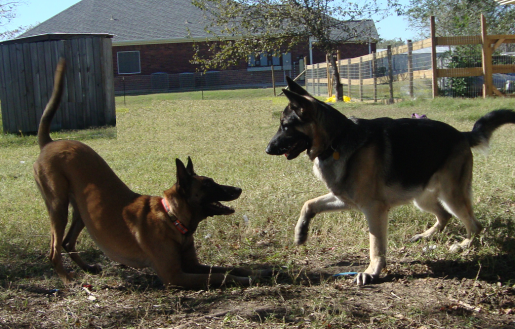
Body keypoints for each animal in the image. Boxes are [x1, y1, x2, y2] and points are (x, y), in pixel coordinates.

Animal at [34, 59, 264, 288]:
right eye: (207, 185)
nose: (238, 189)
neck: (172, 218)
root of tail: (49, 143)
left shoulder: (193, 265)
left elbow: (226, 268)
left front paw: (253, 270)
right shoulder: (175, 275)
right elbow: (220, 276)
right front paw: (247, 278)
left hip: (82, 212)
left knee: (67, 242)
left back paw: (88, 268)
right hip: (58, 207)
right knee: (54, 249)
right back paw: (67, 278)